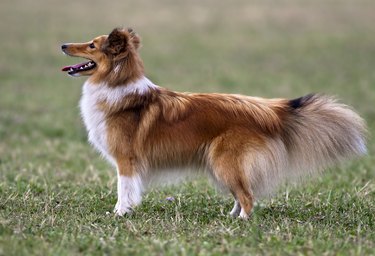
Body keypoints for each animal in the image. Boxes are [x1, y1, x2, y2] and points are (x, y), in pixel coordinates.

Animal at [61, 28, 368, 220]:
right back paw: (231, 216)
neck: (117, 83)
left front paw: (120, 214)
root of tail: (268, 111)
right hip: (223, 164)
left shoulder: (126, 160)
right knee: (242, 193)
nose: (63, 45)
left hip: (224, 161)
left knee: (248, 196)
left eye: (92, 45)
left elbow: (123, 191)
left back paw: (241, 221)